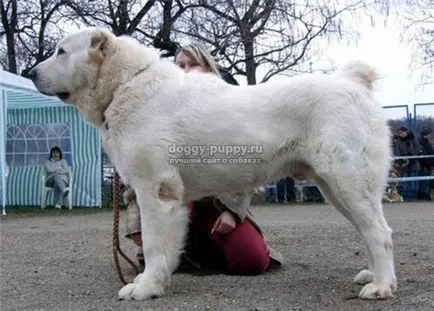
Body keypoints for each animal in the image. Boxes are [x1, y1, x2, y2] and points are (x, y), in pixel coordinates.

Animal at [28, 28, 396, 302]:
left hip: (346, 181)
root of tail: (352, 82)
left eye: (61, 51)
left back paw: (381, 286)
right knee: (369, 230)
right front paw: (157, 282)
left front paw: (146, 287)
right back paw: (376, 276)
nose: (30, 73)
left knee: (379, 232)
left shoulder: (155, 192)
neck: (124, 84)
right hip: (335, 187)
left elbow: (154, 243)